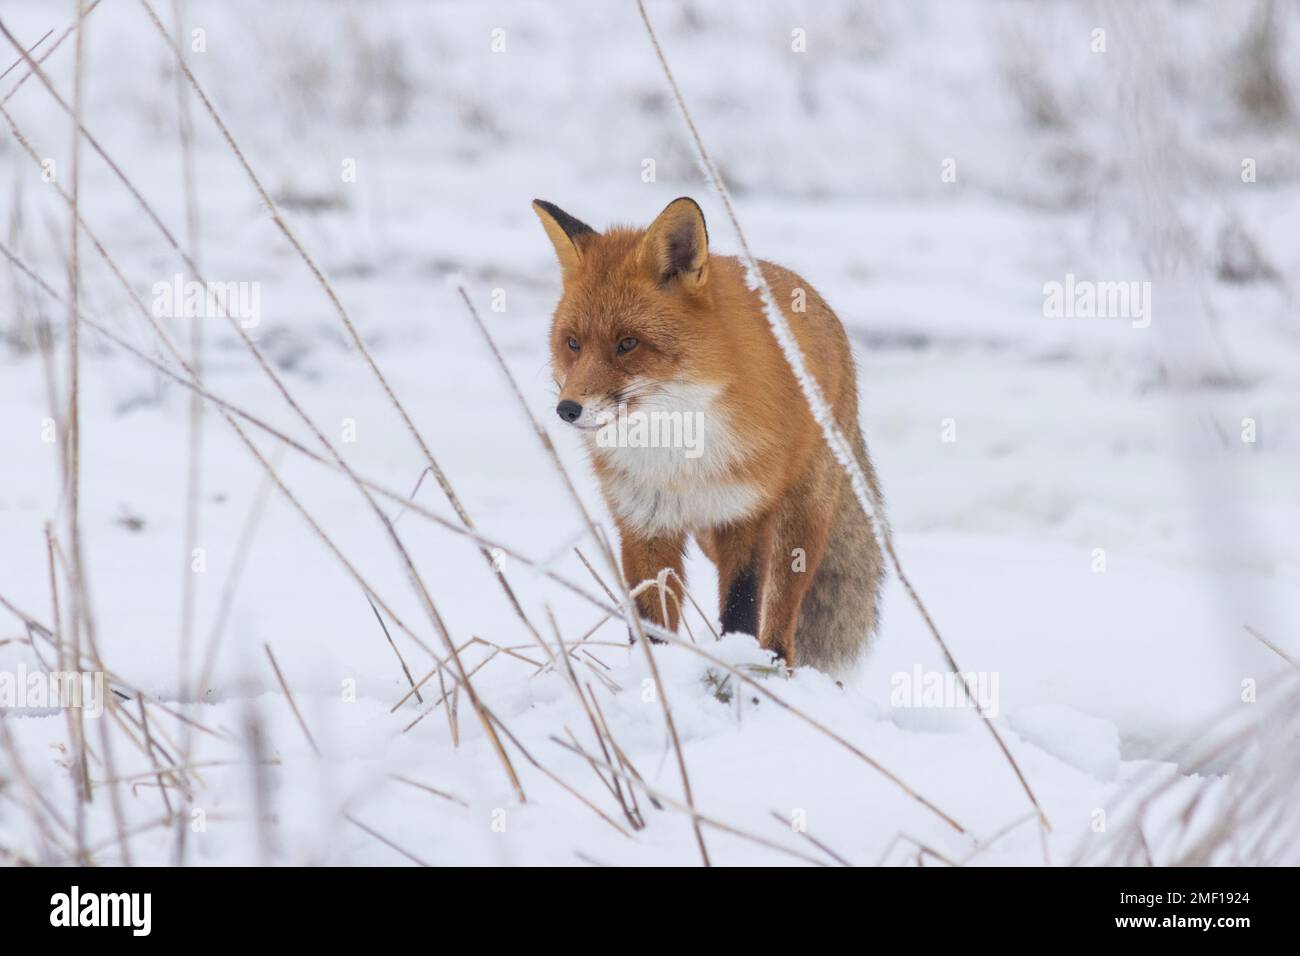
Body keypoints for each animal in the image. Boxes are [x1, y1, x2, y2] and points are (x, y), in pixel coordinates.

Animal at [533, 196, 885, 673]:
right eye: (572, 344)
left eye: (627, 344)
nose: (567, 409)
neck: (677, 448)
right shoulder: (643, 522)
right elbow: (651, 621)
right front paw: (655, 675)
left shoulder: (746, 514)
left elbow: (740, 608)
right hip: (705, 533)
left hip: (796, 526)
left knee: (781, 615)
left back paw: (777, 666)